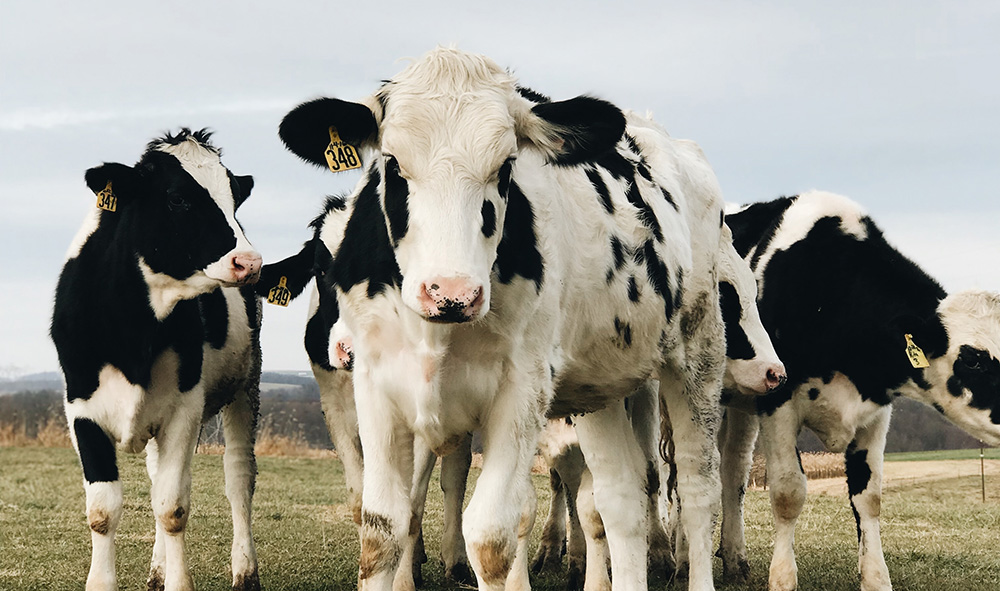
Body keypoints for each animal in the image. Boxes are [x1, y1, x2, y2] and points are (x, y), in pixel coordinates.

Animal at [51, 130, 264, 591]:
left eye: (234, 199)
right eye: (178, 199)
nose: (249, 262)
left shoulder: (184, 407)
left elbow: (172, 507)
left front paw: (179, 581)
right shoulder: (81, 408)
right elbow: (103, 510)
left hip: (247, 385)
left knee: (238, 476)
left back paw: (245, 570)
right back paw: (157, 568)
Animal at [278, 47, 732, 591]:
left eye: (506, 166)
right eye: (392, 163)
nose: (451, 294)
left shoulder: (522, 389)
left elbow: (492, 537)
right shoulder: (373, 385)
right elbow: (381, 528)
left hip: (698, 353)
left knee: (697, 487)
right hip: (600, 384)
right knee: (620, 496)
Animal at [724, 191, 1000, 591]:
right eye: (974, 359)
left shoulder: (876, 411)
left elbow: (869, 496)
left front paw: (875, 578)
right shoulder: (778, 402)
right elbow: (789, 491)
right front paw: (783, 578)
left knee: (732, 471)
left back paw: (733, 559)